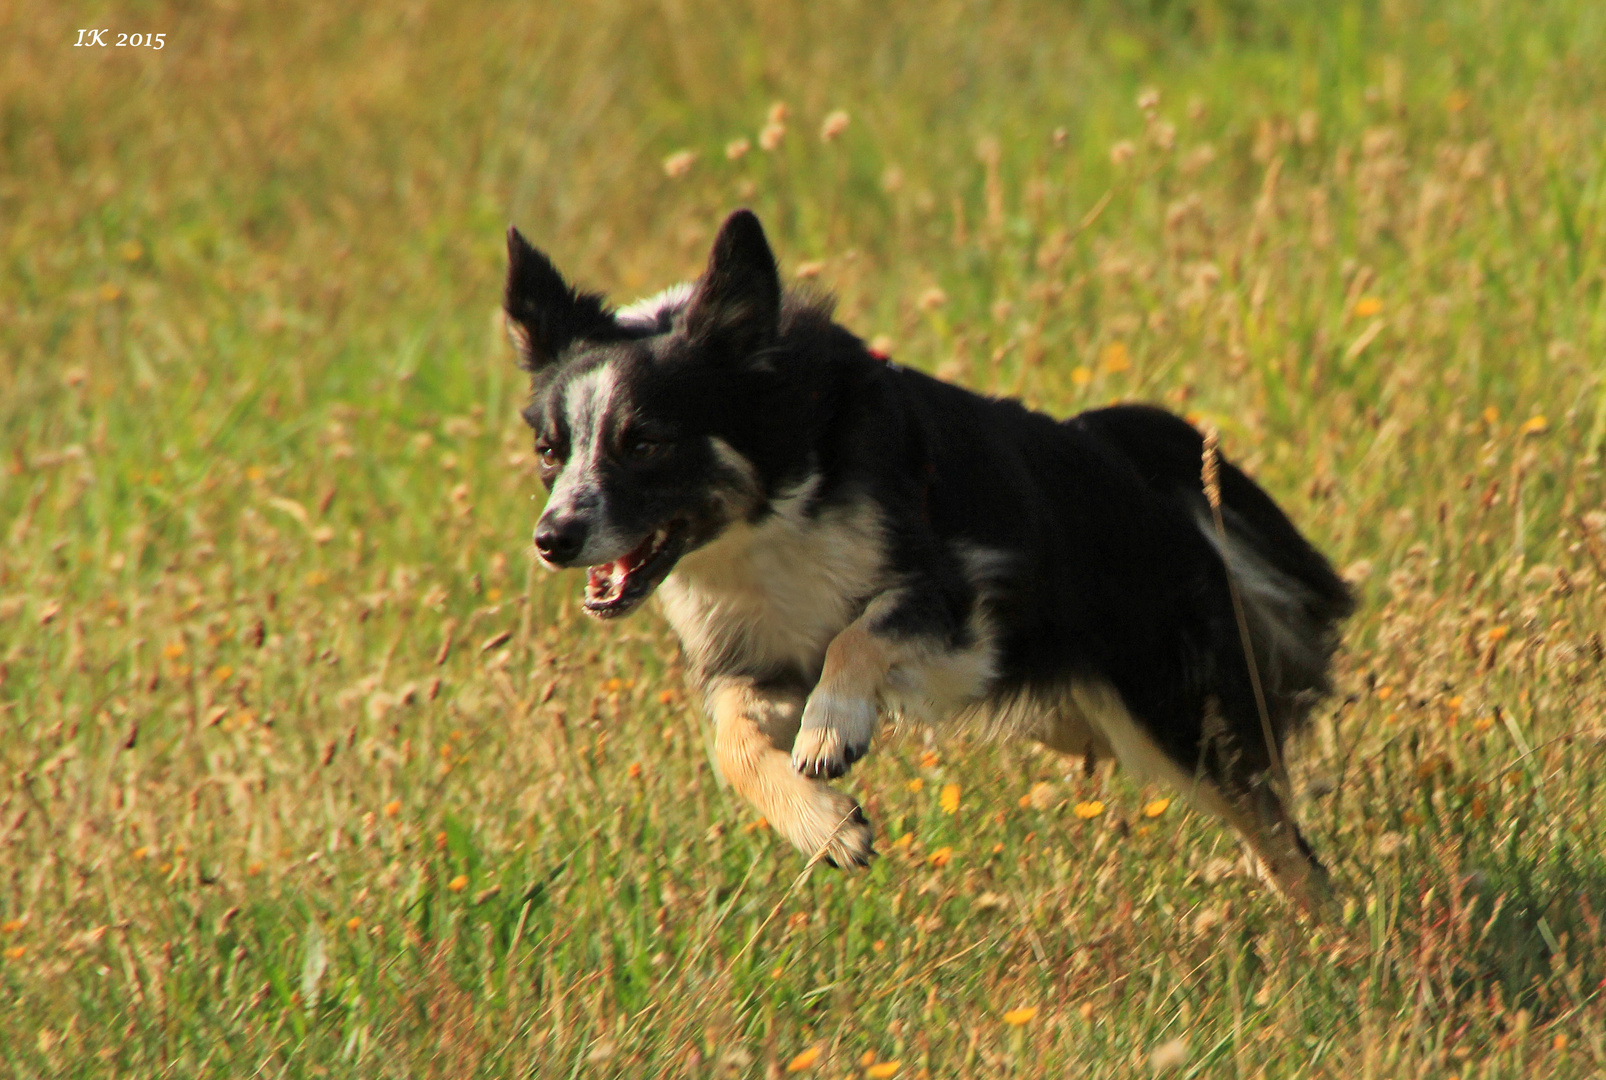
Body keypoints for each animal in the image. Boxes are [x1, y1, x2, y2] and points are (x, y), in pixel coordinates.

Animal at [504, 208, 1355, 912]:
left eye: (645, 442)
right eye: (550, 450)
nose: (552, 540)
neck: (770, 510)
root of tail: (1118, 457)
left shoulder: (966, 596)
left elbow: (861, 634)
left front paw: (831, 732)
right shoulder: (755, 658)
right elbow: (734, 745)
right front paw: (826, 827)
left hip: (1174, 708)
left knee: (1282, 838)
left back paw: (1333, 939)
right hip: (1075, 714)